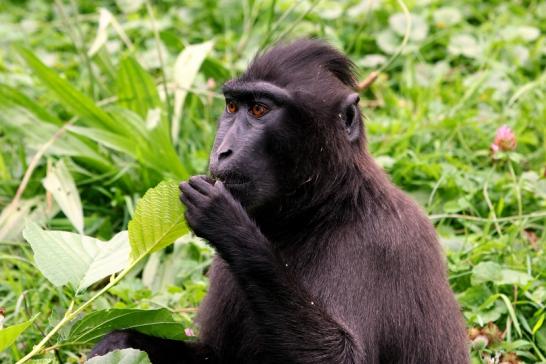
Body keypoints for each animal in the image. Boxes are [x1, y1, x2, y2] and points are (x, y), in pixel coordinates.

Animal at [90, 38, 468, 362]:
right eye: (232, 106)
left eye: (259, 110)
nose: (223, 151)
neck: (320, 210)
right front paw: (120, 343)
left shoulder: (379, 245)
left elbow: (344, 357)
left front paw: (229, 225)